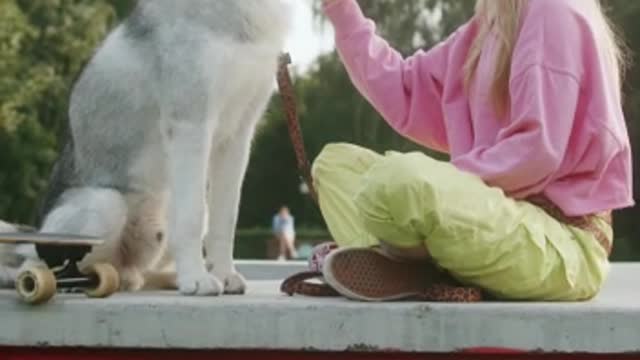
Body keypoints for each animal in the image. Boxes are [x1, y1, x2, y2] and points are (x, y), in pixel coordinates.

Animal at [0, 0, 290, 296]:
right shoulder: (191, 124)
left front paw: (223, 274)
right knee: (33, 263)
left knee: (131, 270)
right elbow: (192, 216)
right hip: (104, 205)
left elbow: (226, 220)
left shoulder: (237, 136)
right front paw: (196, 278)